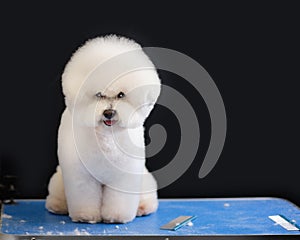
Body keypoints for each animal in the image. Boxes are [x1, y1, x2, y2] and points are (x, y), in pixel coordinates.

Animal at [45, 35, 161, 223]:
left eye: (121, 95)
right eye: (99, 95)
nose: (109, 113)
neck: (106, 138)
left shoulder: (123, 176)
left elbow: (119, 199)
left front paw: (116, 217)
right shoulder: (82, 176)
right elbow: (85, 196)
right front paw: (85, 216)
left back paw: (142, 208)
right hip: (60, 179)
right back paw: (57, 206)